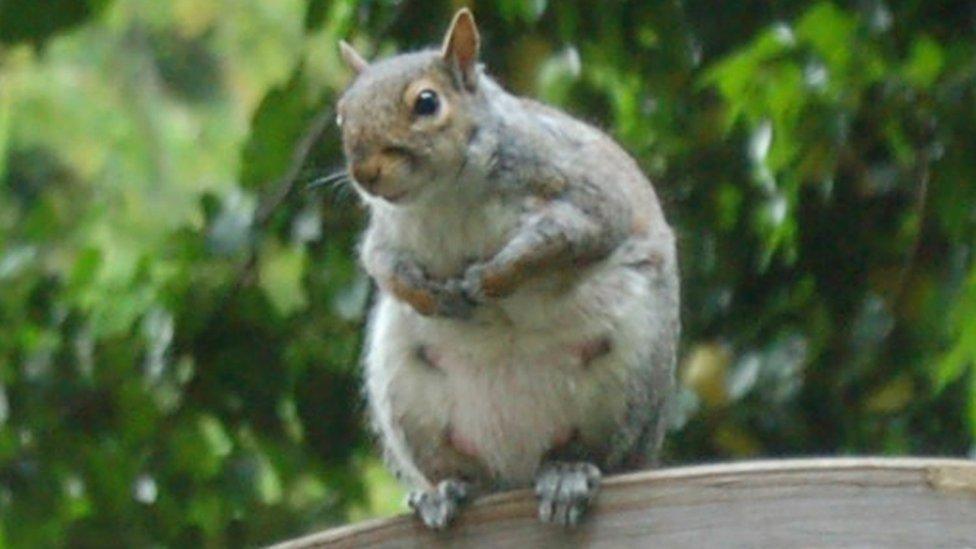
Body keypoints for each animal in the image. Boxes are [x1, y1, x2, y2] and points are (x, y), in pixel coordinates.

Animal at [336, 8, 680, 528]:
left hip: (629, 374)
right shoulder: (386, 233)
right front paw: (429, 293)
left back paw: (567, 474)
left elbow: (566, 237)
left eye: (426, 103)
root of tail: (516, 466)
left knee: (595, 453)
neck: (443, 196)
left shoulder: (579, 190)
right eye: (341, 113)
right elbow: (381, 265)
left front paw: (493, 276)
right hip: (405, 391)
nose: (364, 174)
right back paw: (447, 490)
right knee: (461, 472)